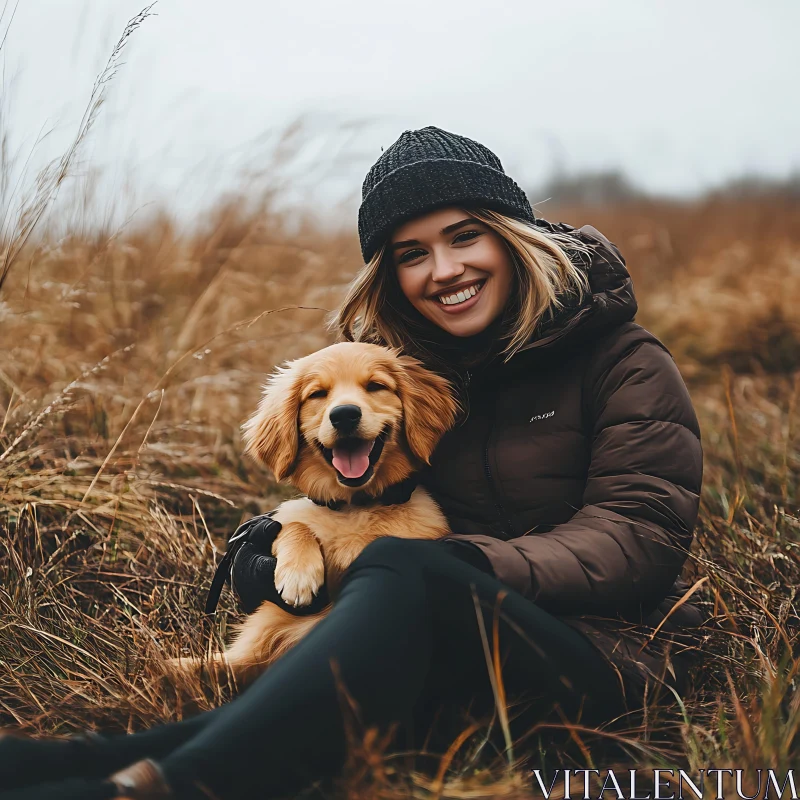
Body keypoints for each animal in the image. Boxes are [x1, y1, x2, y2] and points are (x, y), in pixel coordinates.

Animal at [166, 344, 460, 688]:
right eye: (317, 394)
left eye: (376, 386)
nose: (344, 414)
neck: (354, 507)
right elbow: (293, 524)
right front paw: (298, 576)